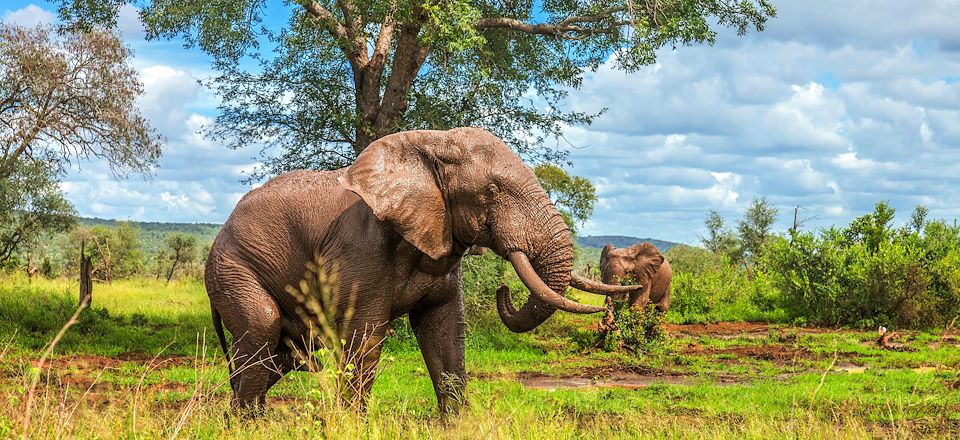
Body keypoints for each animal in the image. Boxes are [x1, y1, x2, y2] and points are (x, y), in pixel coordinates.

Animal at [206, 126, 632, 412]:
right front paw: (353, 424)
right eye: (491, 192)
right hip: (233, 266)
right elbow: (364, 336)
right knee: (262, 328)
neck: (429, 144)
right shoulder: (359, 248)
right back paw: (248, 423)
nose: (503, 290)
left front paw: (457, 425)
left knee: (282, 354)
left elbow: (442, 330)